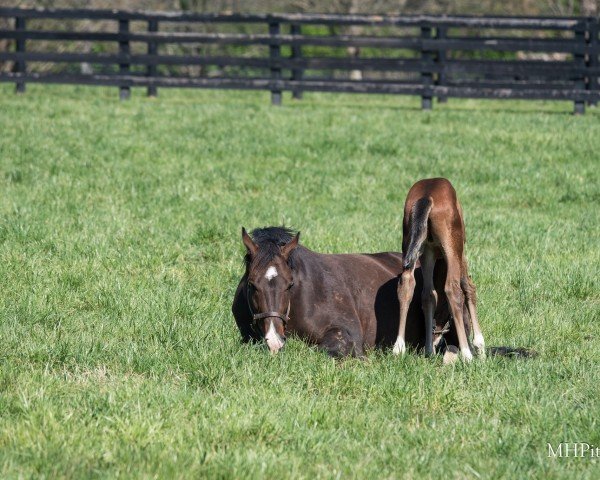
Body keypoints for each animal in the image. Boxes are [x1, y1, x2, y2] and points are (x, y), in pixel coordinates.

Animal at [394, 179, 488, 360]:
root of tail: (427, 197)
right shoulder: (459, 251)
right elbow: (468, 286)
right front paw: (479, 346)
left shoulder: (430, 252)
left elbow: (429, 295)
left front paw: (429, 349)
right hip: (452, 246)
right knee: (453, 289)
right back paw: (466, 354)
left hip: (413, 246)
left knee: (409, 286)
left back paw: (400, 348)